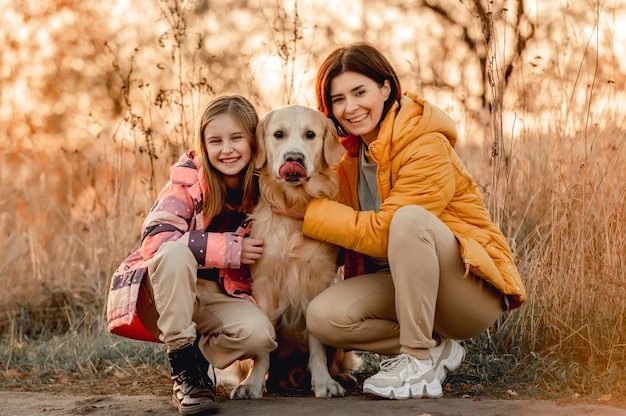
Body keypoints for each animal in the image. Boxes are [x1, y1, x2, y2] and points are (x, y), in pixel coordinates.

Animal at [228, 105, 356, 400]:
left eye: (310, 134)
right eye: (279, 134)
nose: (294, 158)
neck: (293, 204)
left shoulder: (318, 281)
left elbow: (318, 345)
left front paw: (324, 382)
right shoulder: (264, 283)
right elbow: (263, 347)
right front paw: (252, 384)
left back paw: (341, 375)